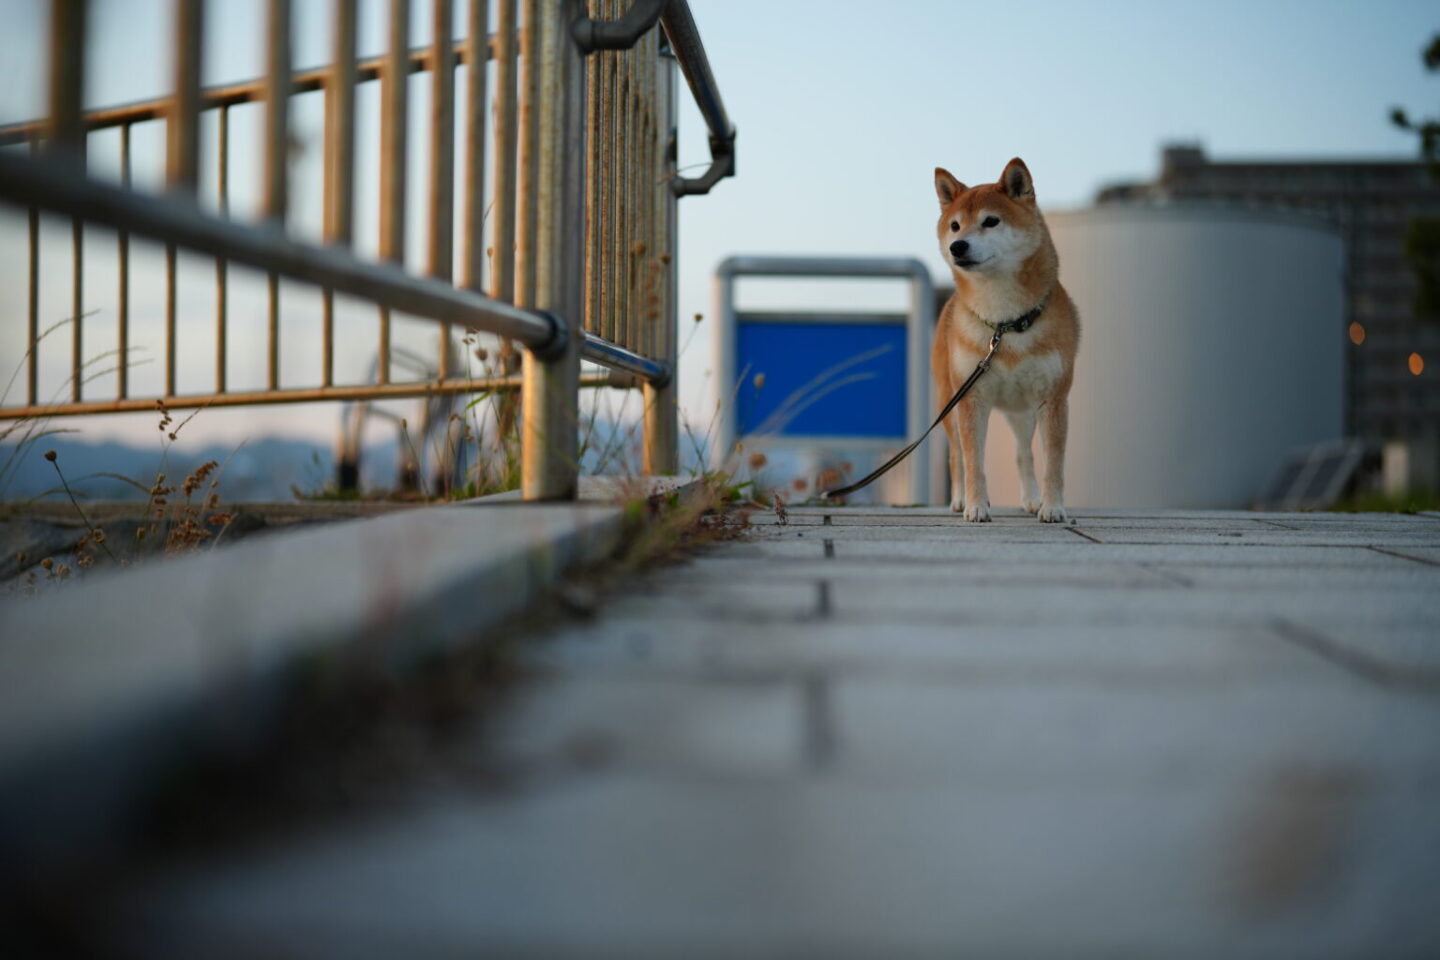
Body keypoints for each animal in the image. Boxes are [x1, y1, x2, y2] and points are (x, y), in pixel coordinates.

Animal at [930, 158, 1079, 522]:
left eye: (991, 221)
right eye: (955, 225)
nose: (958, 246)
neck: (1005, 323)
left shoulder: (1053, 398)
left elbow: (1053, 463)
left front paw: (1053, 507)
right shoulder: (972, 400)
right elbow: (973, 461)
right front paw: (975, 506)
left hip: (1022, 412)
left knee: (1023, 455)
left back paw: (1031, 499)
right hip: (949, 401)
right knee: (956, 455)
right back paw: (958, 499)